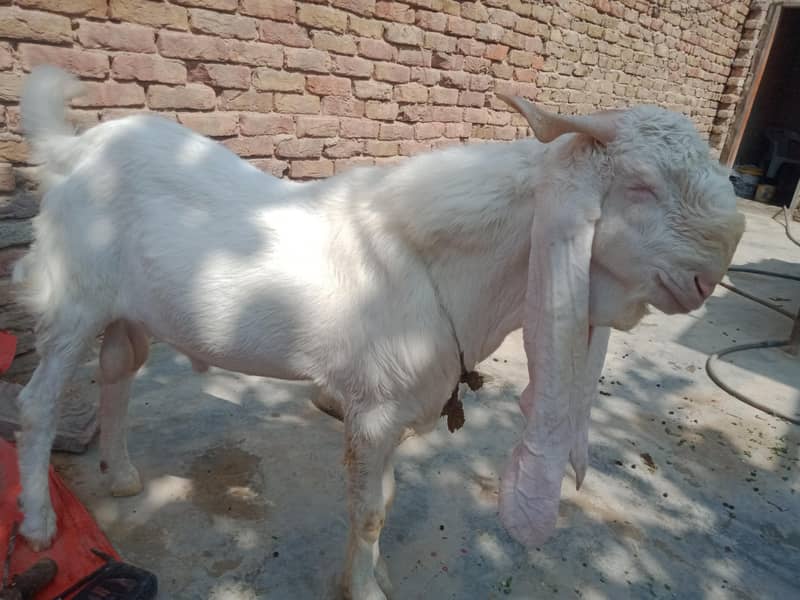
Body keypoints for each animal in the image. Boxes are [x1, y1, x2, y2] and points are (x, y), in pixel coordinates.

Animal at [12, 66, 744, 599]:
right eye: (641, 186)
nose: (709, 277)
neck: (438, 266)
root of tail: (72, 149)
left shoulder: (394, 409)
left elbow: (383, 505)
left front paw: (370, 574)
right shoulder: (370, 409)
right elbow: (366, 510)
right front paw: (365, 591)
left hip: (127, 310)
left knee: (117, 371)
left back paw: (121, 474)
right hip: (75, 297)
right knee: (37, 403)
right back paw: (40, 524)